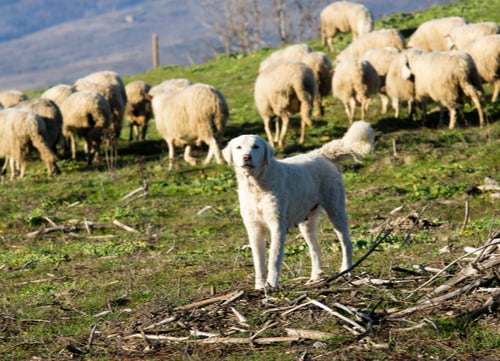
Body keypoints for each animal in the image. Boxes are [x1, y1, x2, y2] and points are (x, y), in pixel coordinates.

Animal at [224, 121, 376, 290]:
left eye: (256, 147)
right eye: (238, 147)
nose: (246, 157)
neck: (257, 186)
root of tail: (321, 153)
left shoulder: (277, 227)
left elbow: (274, 260)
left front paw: (272, 285)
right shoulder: (254, 229)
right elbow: (258, 262)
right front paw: (260, 287)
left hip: (336, 211)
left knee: (347, 244)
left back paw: (347, 271)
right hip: (307, 222)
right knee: (315, 250)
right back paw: (315, 278)